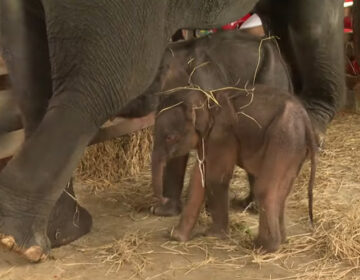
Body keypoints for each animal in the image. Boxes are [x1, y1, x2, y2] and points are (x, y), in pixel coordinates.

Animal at [153, 85, 318, 252]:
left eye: (170, 137)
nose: (162, 201)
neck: (208, 98)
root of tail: (306, 120)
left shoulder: (222, 135)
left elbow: (215, 178)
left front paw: (213, 236)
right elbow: (198, 179)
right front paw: (176, 237)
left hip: (283, 139)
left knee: (266, 189)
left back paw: (262, 247)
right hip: (295, 148)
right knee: (283, 191)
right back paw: (281, 241)